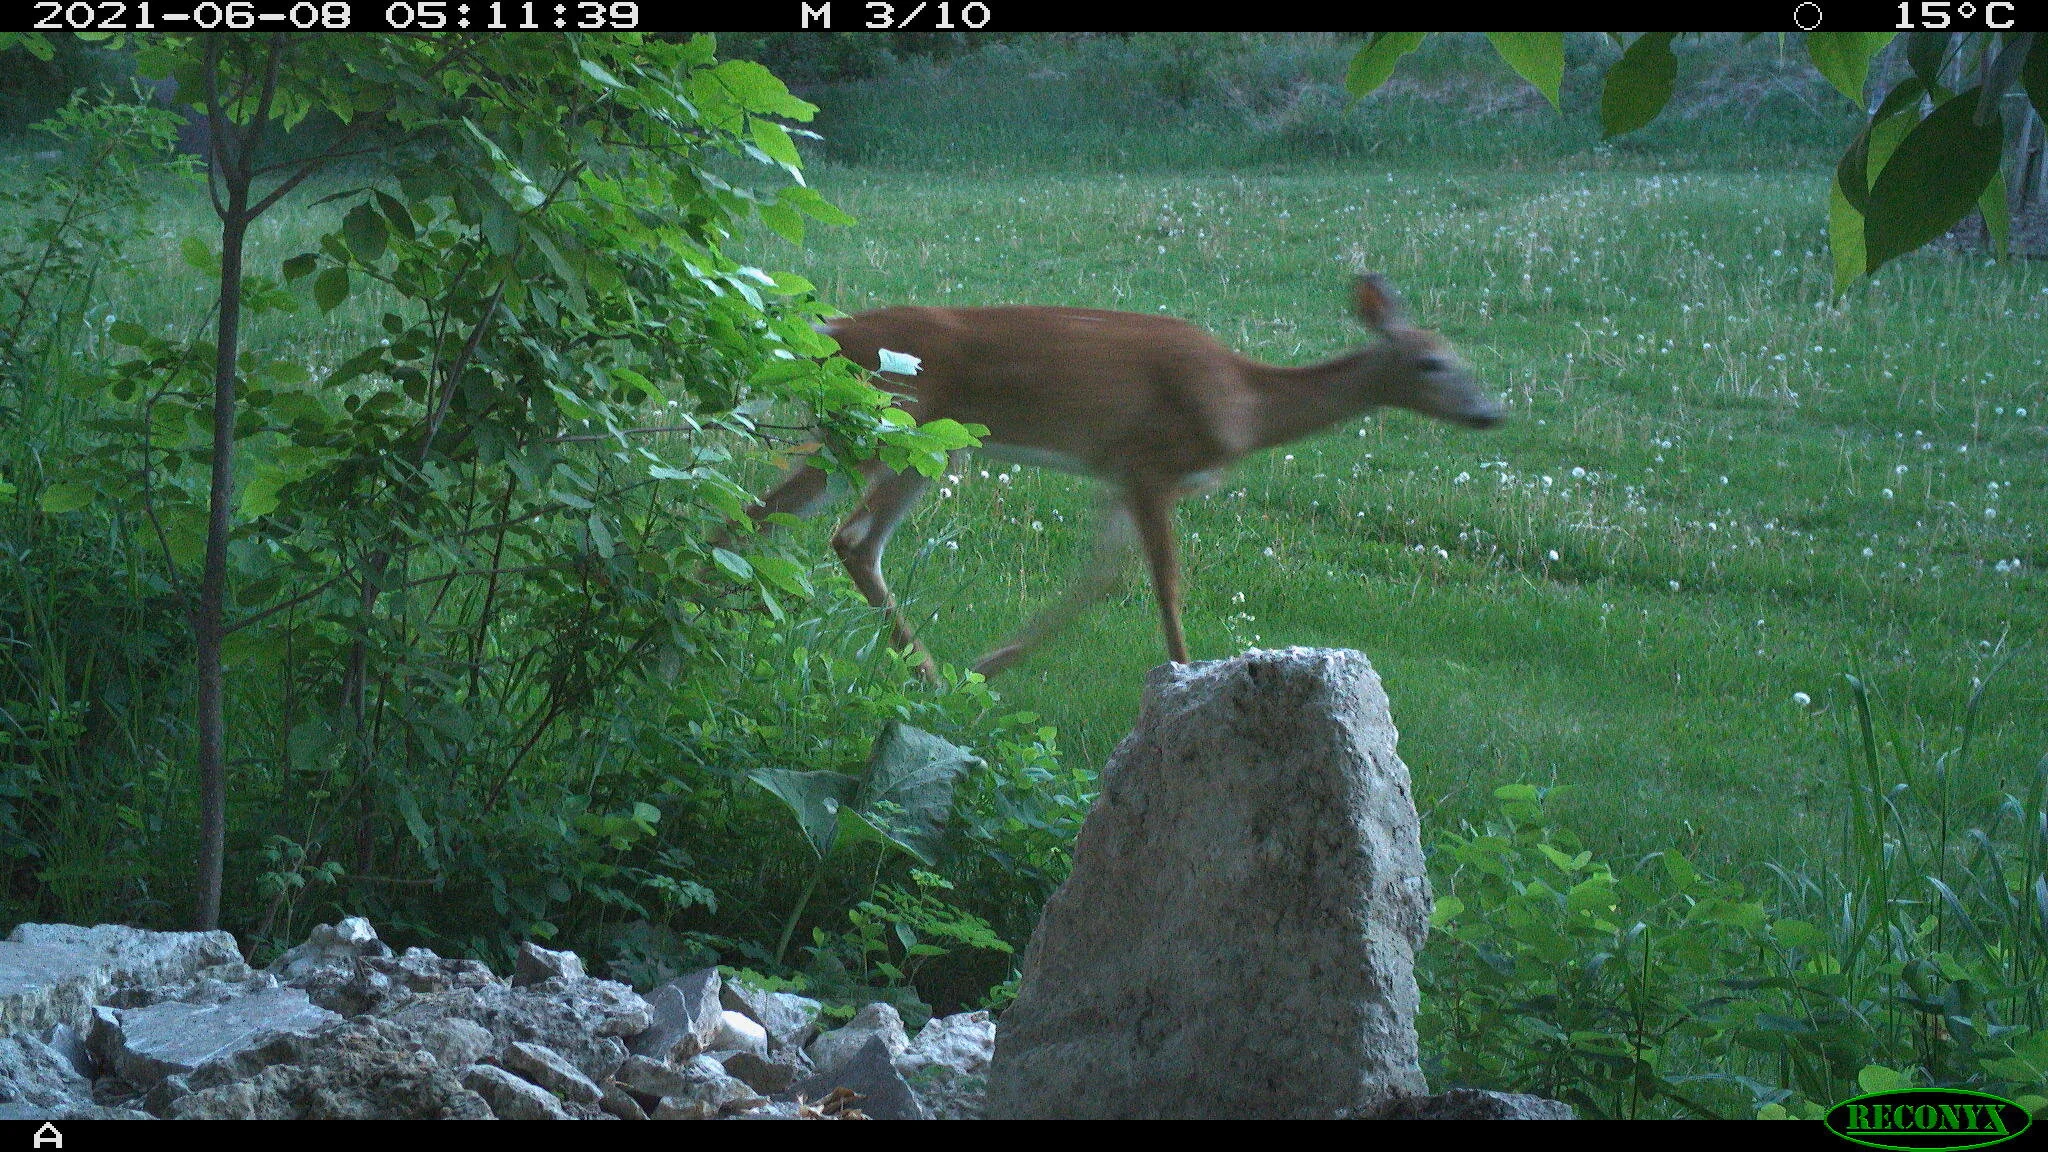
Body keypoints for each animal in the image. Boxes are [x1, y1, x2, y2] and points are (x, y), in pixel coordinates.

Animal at [737, 274, 1503, 680]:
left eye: (1462, 356)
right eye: (1432, 362)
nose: (1491, 413)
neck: (1248, 403)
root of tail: (831, 330)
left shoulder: (1117, 476)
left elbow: (1101, 577)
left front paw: (992, 664)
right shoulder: (1150, 463)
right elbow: (1164, 585)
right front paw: (1185, 673)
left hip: (891, 441)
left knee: (774, 515)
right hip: (900, 429)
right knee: (844, 535)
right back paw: (922, 668)